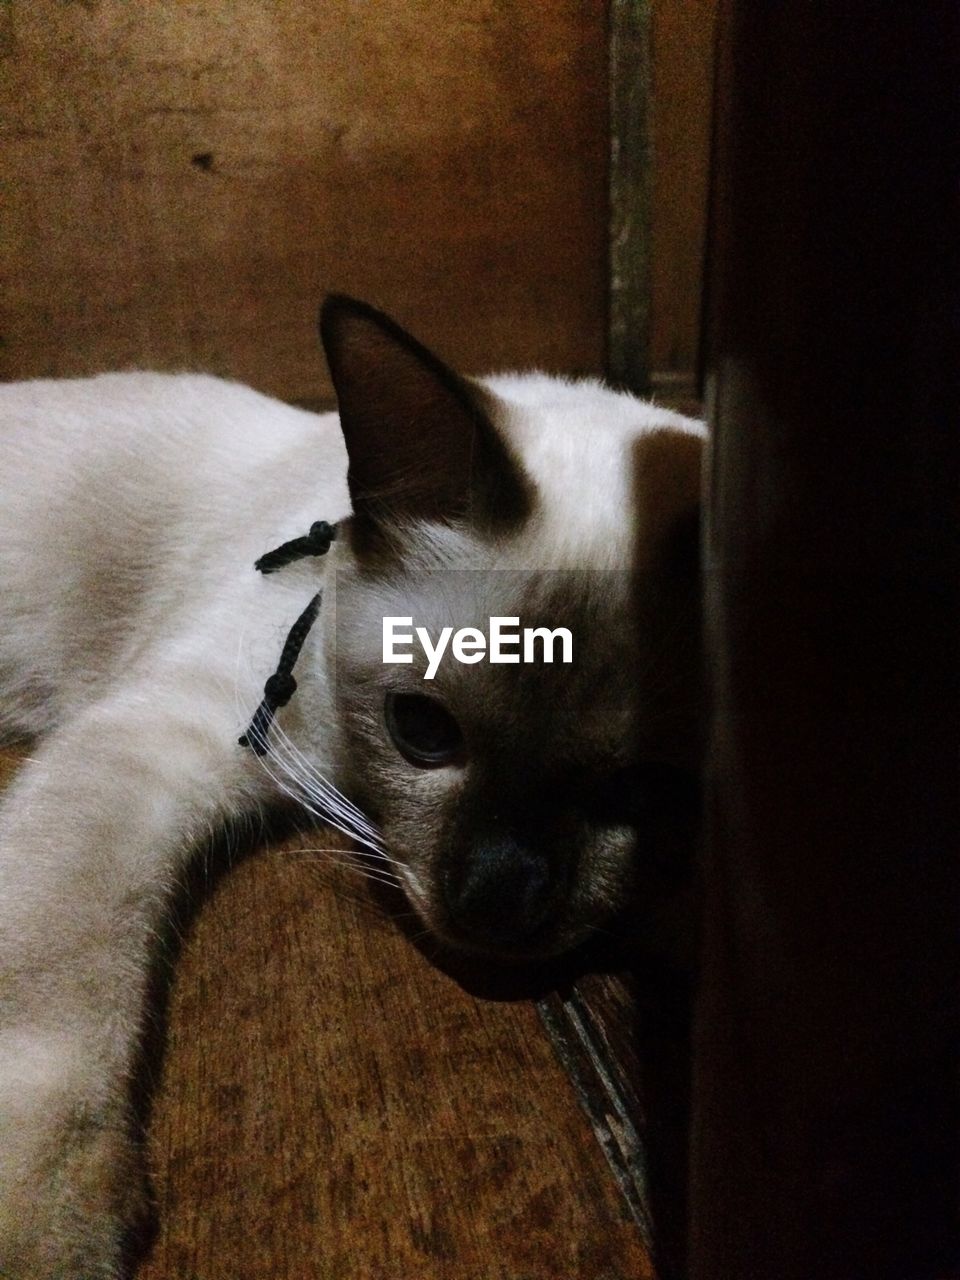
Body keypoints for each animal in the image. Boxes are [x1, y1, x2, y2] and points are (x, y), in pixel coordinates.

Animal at [0, 294, 706, 1274]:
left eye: (643, 793)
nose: (493, 901)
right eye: (423, 732)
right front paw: (41, 1242)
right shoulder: (155, 745)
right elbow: (56, 998)